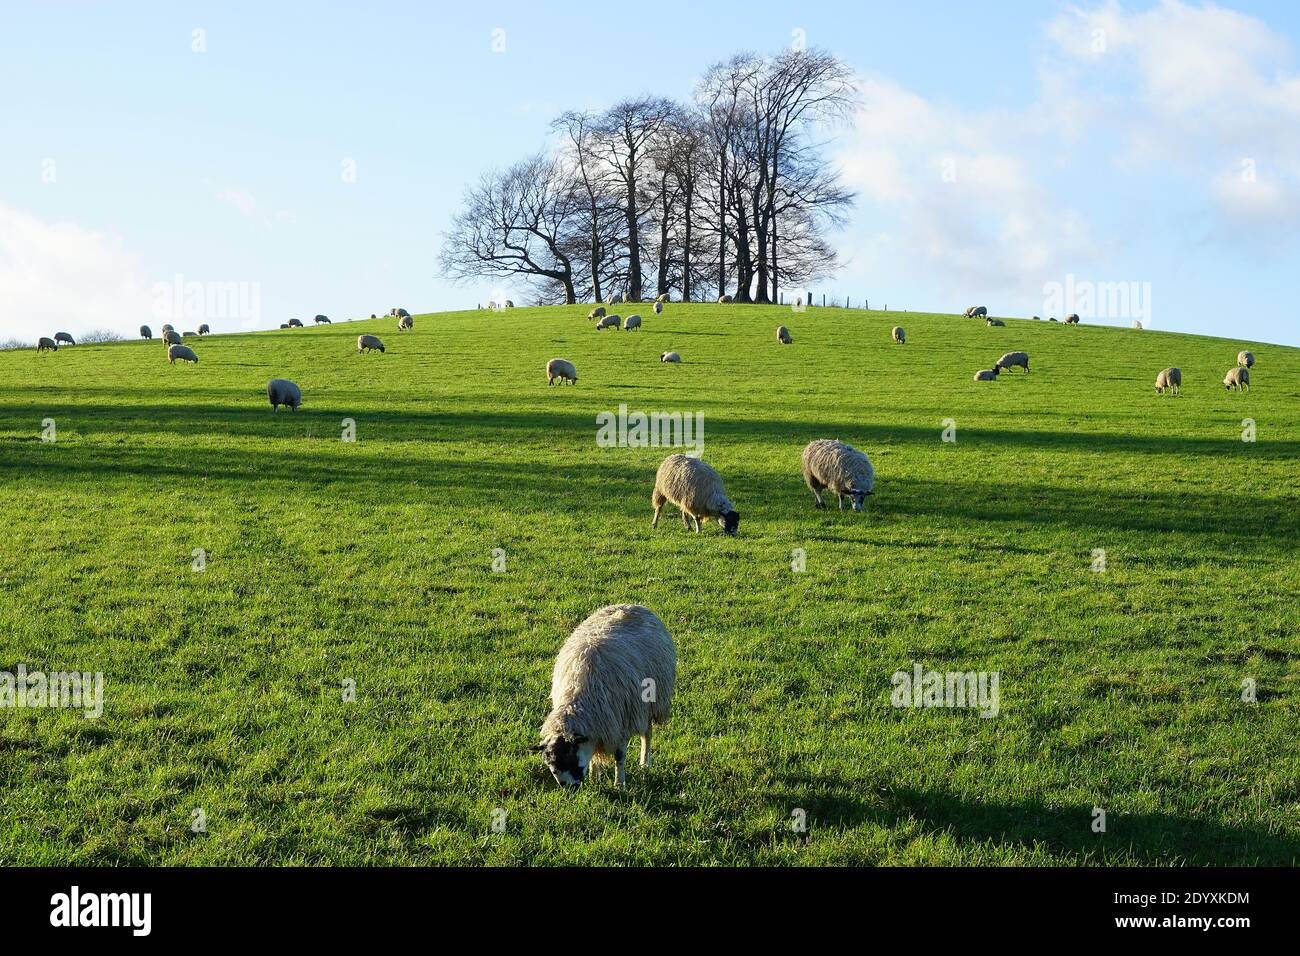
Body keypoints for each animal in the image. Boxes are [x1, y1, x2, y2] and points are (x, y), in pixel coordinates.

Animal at [533, 600, 676, 790]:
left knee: (647, 734)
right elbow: (594, 757)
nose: (569, 789)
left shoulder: (621, 723)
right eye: (552, 767)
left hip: (649, 704)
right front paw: (595, 779)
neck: (577, 700)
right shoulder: (598, 728)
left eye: (569, 758)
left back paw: (645, 764)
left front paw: (619, 784)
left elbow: (619, 756)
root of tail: (633, 604)